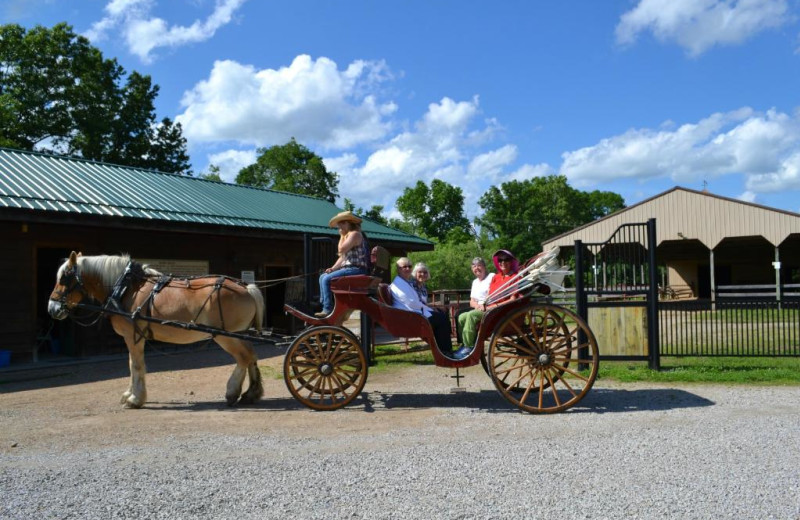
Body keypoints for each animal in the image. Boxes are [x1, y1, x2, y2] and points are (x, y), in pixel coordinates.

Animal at [47, 250, 266, 408]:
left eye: (65, 277)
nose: (52, 308)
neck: (125, 288)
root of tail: (246, 287)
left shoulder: (133, 336)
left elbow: (136, 365)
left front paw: (135, 399)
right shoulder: (133, 337)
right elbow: (131, 364)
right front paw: (129, 394)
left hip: (227, 336)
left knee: (244, 358)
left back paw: (232, 392)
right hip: (240, 334)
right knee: (252, 356)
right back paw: (251, 393)